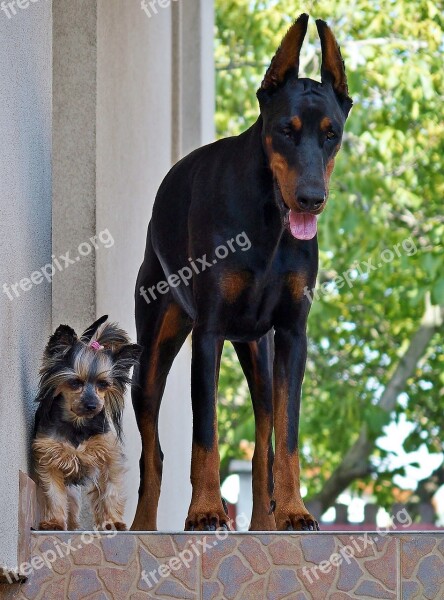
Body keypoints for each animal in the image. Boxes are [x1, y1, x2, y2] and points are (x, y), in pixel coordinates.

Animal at [32, 314, 141, 528]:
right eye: (75, 382)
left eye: (103, 384)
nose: (92, 405)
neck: (78, 424)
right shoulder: (49, 457)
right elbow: (54, 494)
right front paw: (55, 522)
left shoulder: (109, 454)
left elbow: (110, 490)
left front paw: (112, 521)